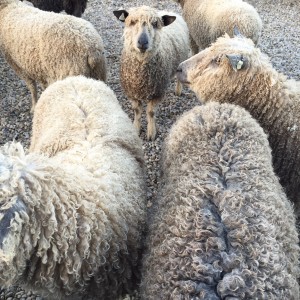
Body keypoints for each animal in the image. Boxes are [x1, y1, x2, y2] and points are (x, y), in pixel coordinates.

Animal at [112, 4, 190, 141]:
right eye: (132, 22)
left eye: (155, 24)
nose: (143, 42)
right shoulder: (131, 92)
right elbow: (137, 111)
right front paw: (136, 129)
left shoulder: (157, 91)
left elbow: (150, 112)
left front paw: (151, 133)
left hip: (181, 59)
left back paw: (178, 91)